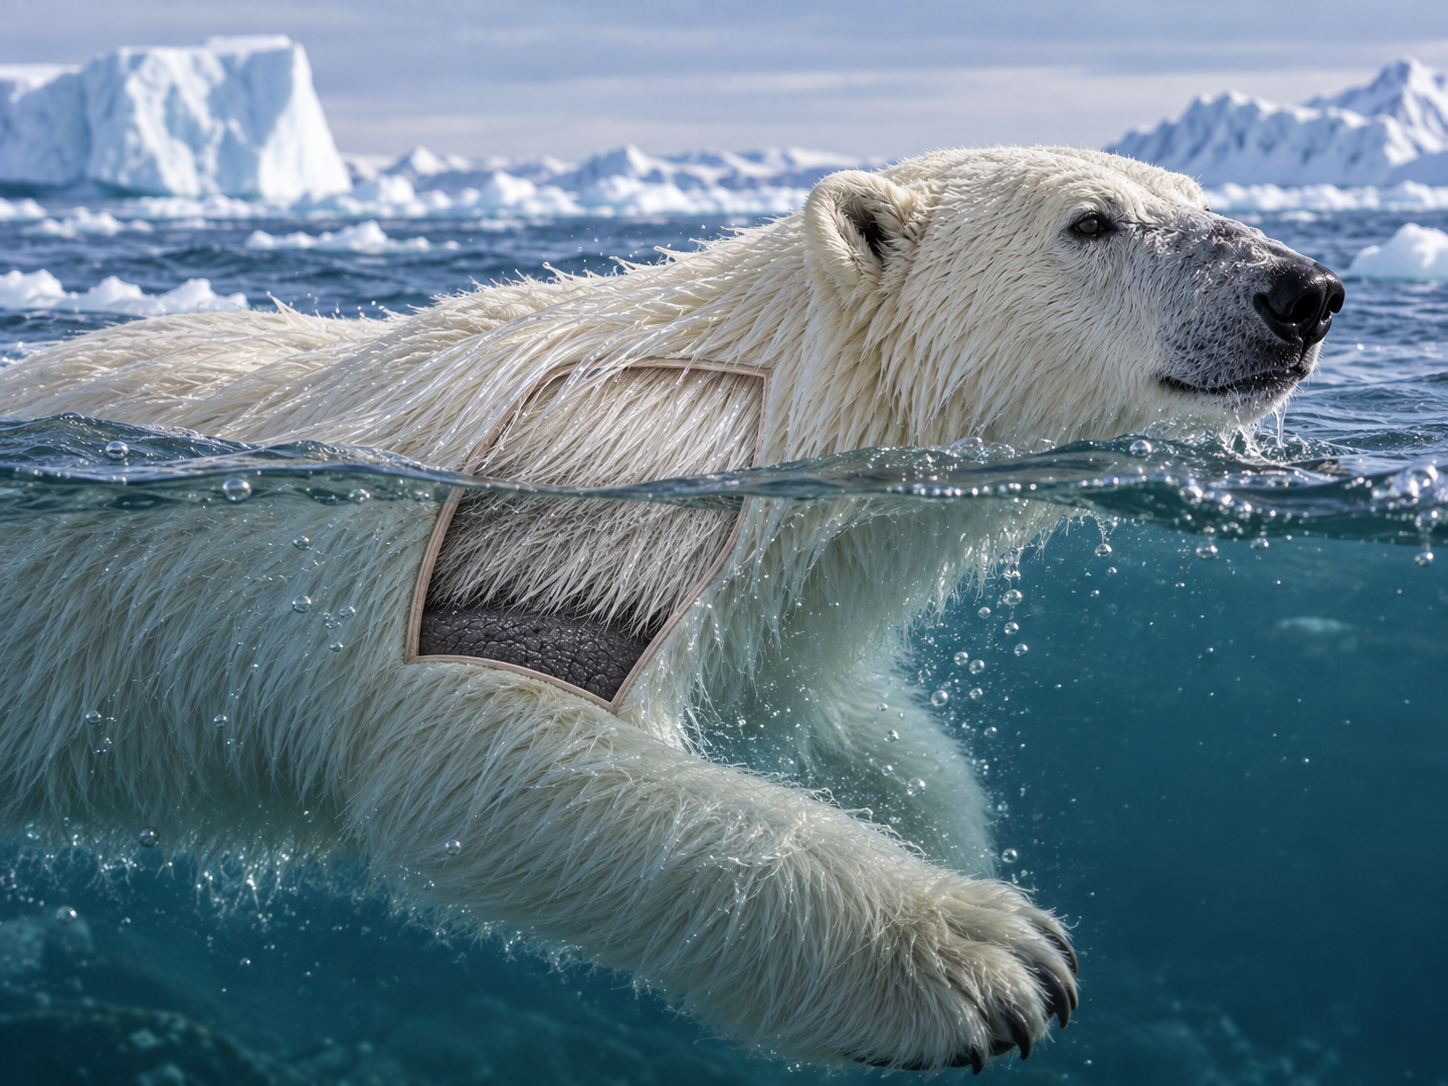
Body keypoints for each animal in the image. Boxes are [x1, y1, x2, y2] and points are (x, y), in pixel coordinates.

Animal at [0, 147, 1343, 1072]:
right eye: (1091, 220)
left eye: (1195, 193)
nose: (1303, 289)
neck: (761, 400)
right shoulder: (566, 523)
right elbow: (481, 739)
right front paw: (984, 958)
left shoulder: (778, 602)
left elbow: (808, 711)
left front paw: (953, 838)